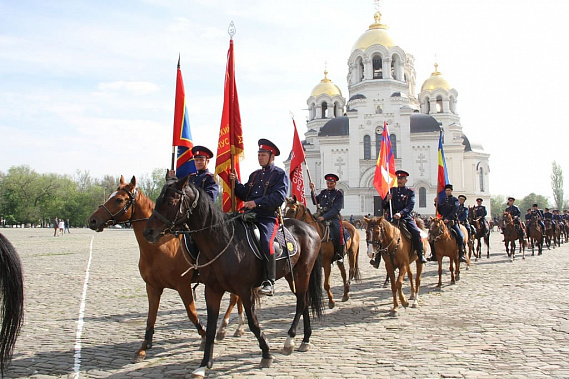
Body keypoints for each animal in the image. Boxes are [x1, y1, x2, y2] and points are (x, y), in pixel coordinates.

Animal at [86, 177, 244, 364]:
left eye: (118, 199)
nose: (92, 220)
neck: (159, 247)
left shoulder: (183, 286)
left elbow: (192, 314)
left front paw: (205, 337)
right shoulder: (152, 287)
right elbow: (151, 317)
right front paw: (143, 348)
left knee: (235, 298)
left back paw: (226, 328)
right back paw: (236, 327)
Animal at [142, 175, 324, 378]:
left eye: (170, 201)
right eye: (158, 199)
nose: (148, 232)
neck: (221, 241)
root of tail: (310, 228)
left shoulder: (245, 290)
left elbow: (253, 323)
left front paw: (266, 353)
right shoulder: (212, 290)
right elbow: (210, 327)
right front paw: (204, 364)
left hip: (303, 271)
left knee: (301, 302)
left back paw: (289, 340)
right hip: (291, 275)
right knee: (304, 301)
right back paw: (304, 339)